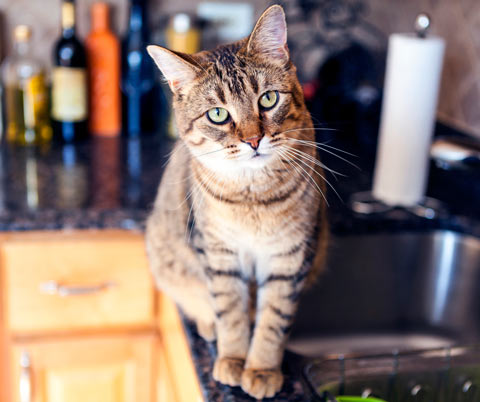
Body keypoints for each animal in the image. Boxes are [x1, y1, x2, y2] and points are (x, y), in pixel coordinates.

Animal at [145, 5, 326, 398]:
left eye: (268, 99)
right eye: (218, 114)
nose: (254, 140)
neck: (252, 198)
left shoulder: (291, 256)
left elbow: (273, 319)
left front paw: (261, 368)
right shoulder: (218, 253)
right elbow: (229, 311)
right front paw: (232, 358)